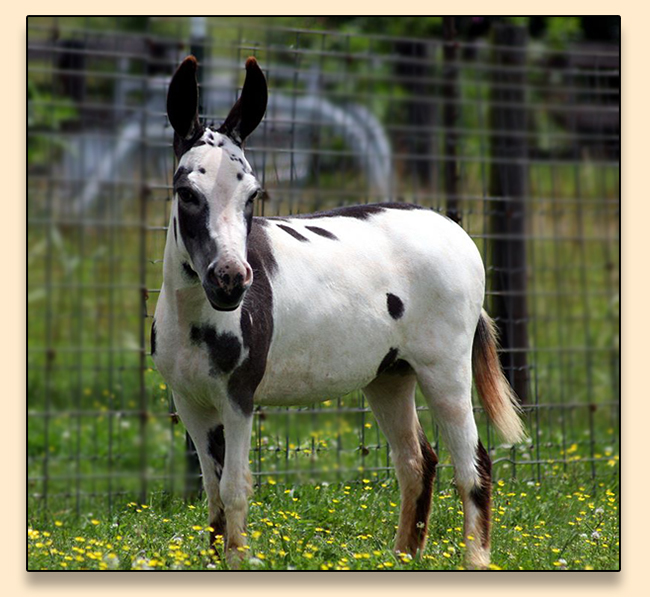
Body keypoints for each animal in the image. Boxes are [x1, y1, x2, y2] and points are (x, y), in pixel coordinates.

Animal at [152, 55, 526, 569]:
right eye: (186, 193)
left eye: (253, 196)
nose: (231, 281)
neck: (196, 315)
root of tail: (449, 224)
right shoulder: (189, 402)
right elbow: (212, 497)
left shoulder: (238, 398)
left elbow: (234, 491)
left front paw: (237, 561)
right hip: (390, 376)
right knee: (417, 461)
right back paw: (402, 558)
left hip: (445, 370)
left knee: (474, 465)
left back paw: (475, 561)